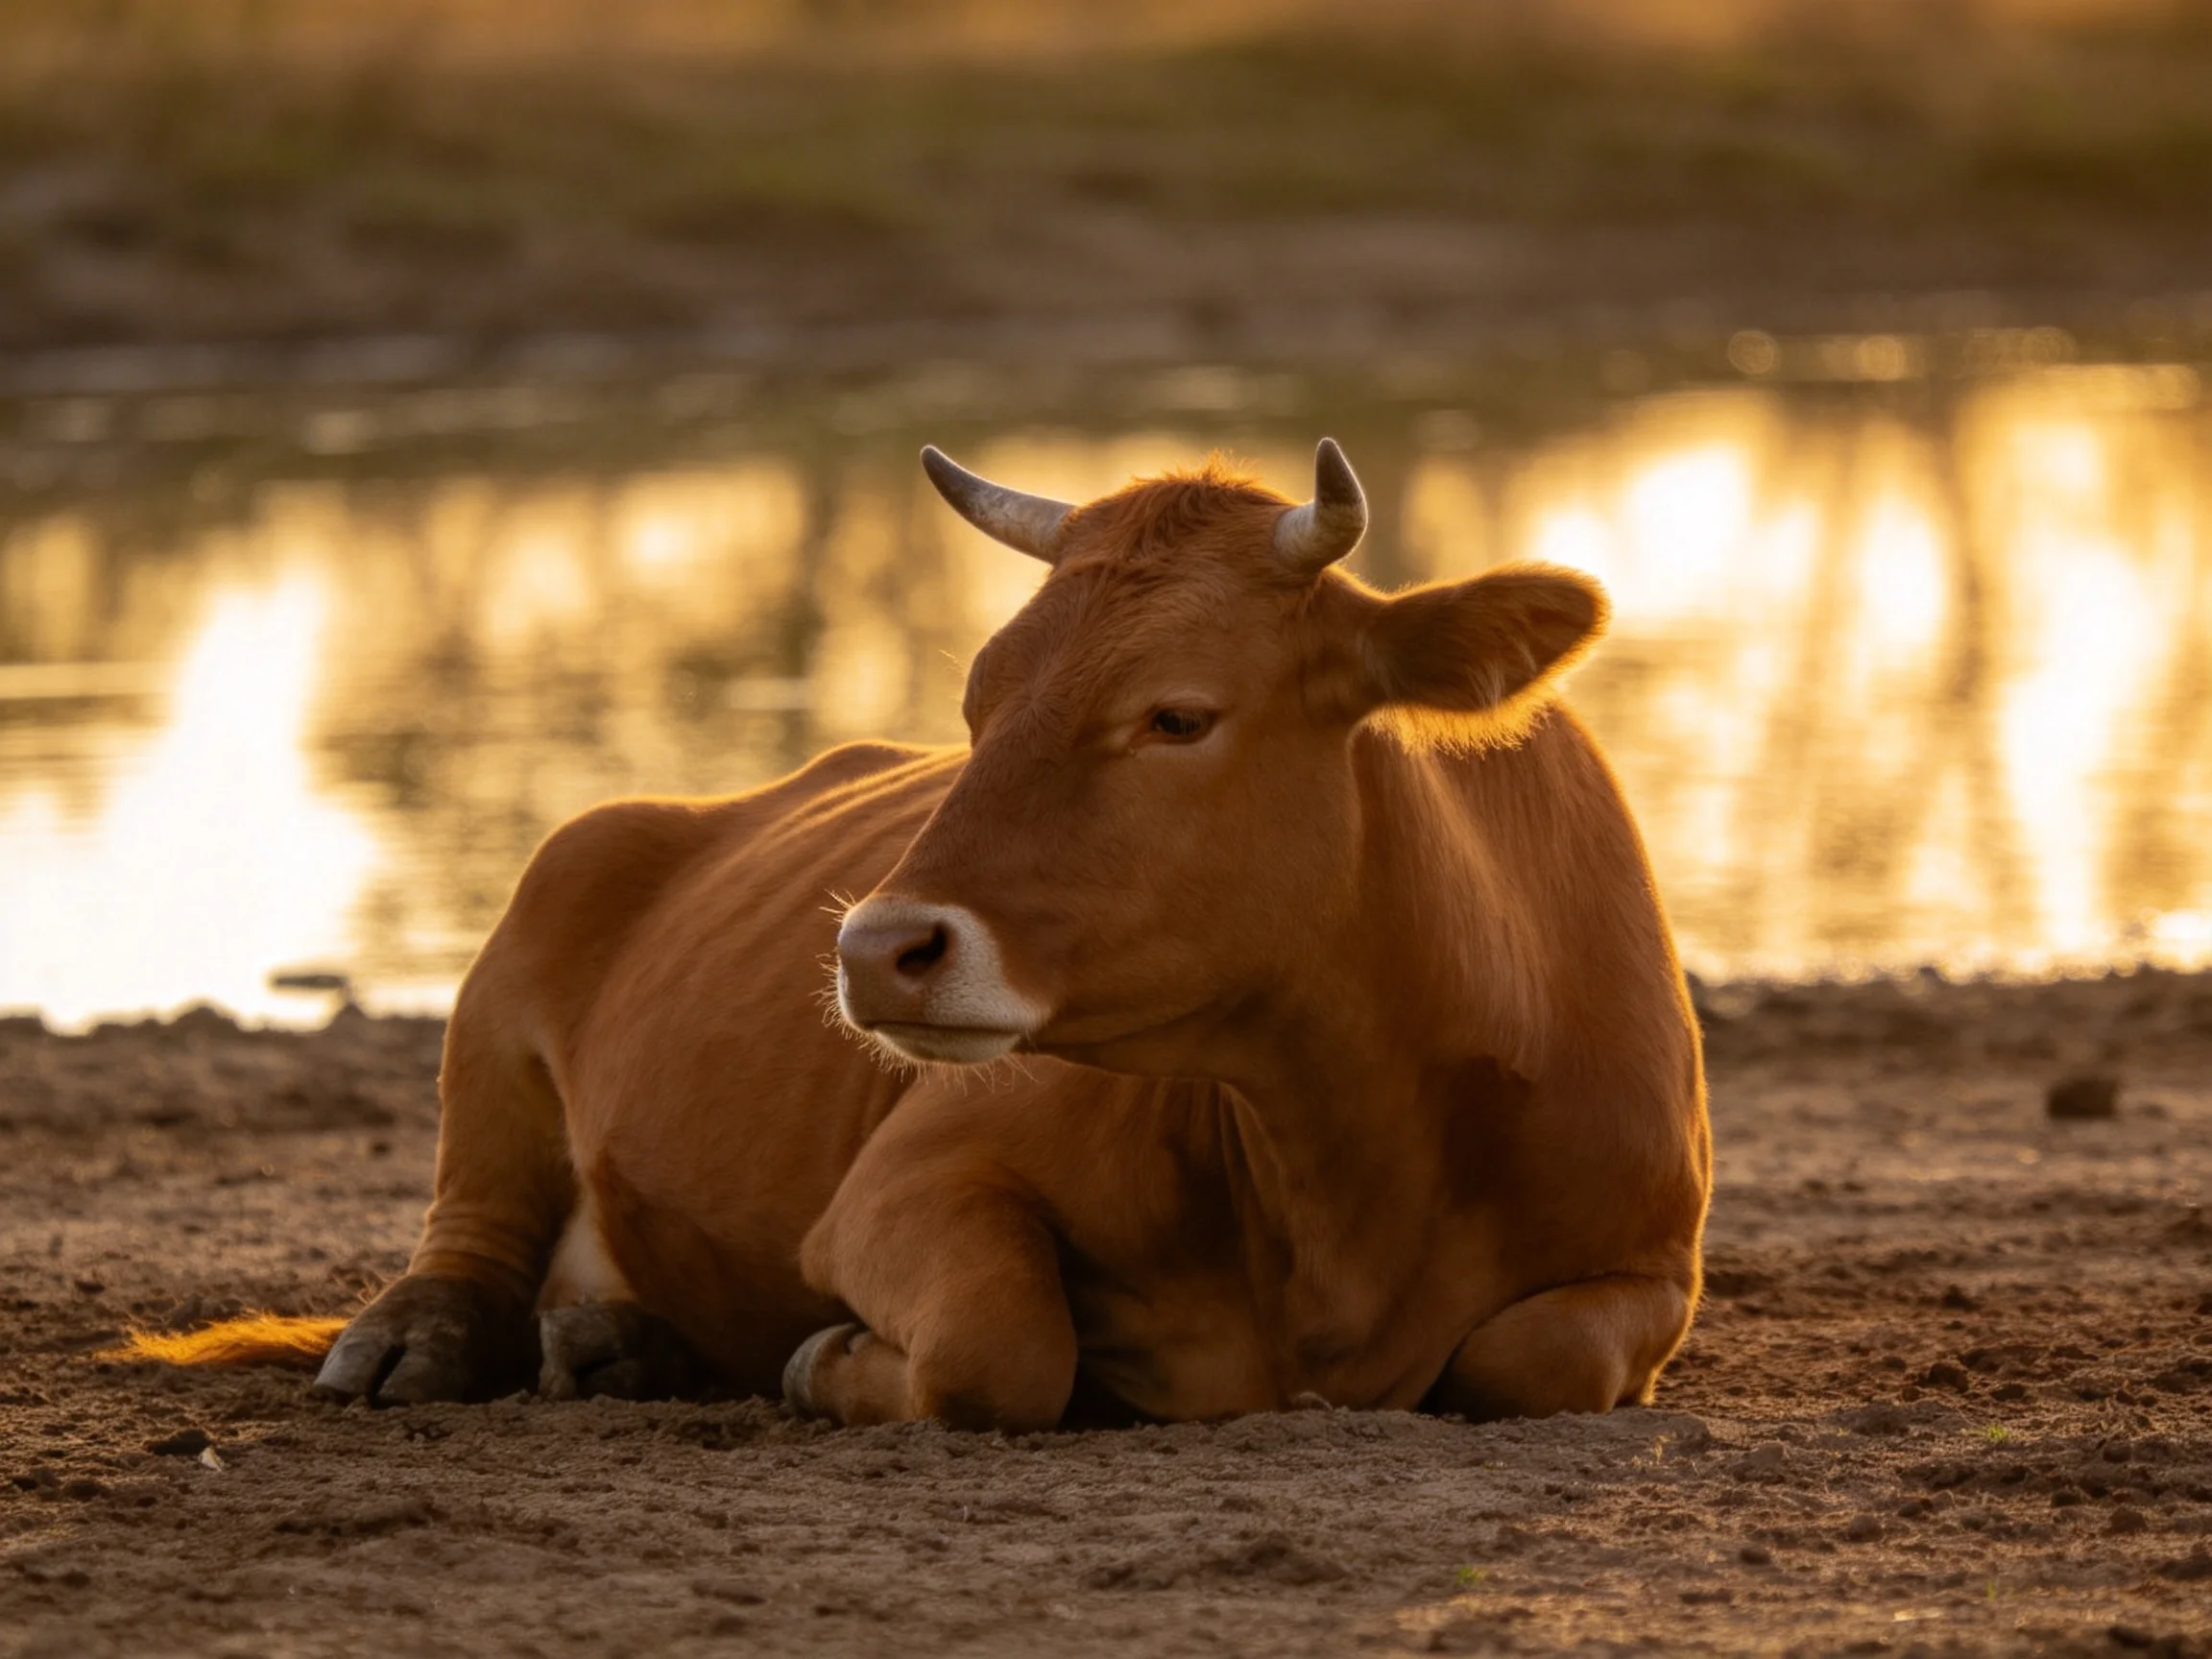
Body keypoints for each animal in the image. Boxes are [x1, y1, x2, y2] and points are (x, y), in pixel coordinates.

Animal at [148, 439, 1710, 1430]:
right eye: (977, 701)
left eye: (1178, 714)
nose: (874, 948)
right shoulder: (906, 1181)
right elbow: (1000, 1349)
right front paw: (827, 1363)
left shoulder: (1655, 1264)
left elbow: (1536, 1356)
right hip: (510, 989)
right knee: (467, 1227)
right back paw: (429, 1341)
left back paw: (619, 1340)